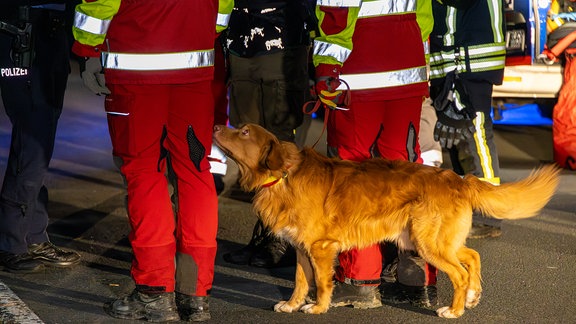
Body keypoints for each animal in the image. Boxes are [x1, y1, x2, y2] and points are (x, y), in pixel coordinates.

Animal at [212, 123, 560, 318]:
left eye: (245, 131)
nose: (215, 126)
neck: (283, 175)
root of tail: (457, 178)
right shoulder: (301, 248)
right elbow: (300, 281)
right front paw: (292, 304)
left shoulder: (321, 248)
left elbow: (322, 283)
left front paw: (319, 307)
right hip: (434, 240)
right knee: (472, 256)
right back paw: (473, 297)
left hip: (429, 244)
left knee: (460, 273)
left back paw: (455, 309)